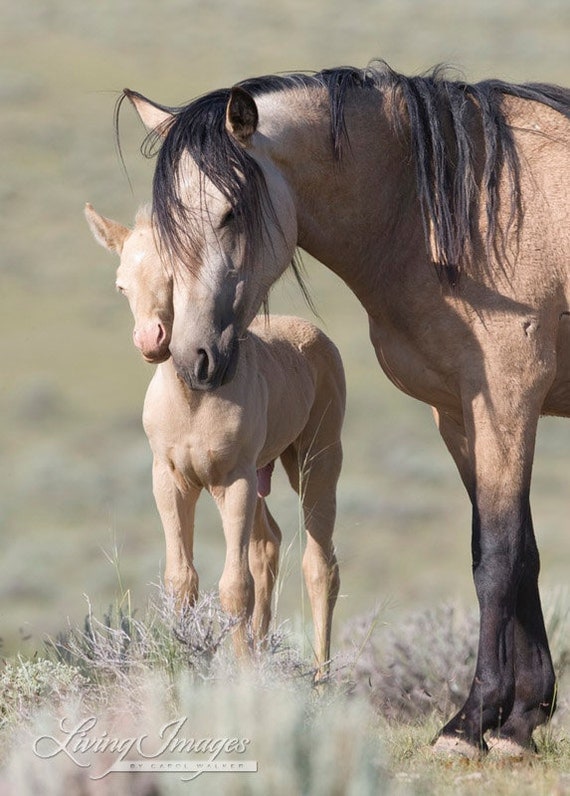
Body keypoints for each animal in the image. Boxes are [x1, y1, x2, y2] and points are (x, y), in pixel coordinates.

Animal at [85, 203, 346, 673]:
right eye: (121, 285)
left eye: (173, 276)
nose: (150, 339)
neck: (193, 402)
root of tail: (316, 336)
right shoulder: (170, 479)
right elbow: (181, 579)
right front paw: (186, 664)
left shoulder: (233, 479)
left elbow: (234, 587)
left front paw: (240, 676)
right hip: (262, 470)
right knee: (267, 544)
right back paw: (262, 651)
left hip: (316, 459)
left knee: (320, 565)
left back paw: (321, 676)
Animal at [117, 61, 569, 756]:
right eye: (165, 230)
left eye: (229, 213)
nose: (194, 359)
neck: (460, 214)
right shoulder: (459, 414)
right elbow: (512, 551)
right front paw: (521, 718)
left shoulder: (508, 400)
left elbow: (498, 556)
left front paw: (472, 723)